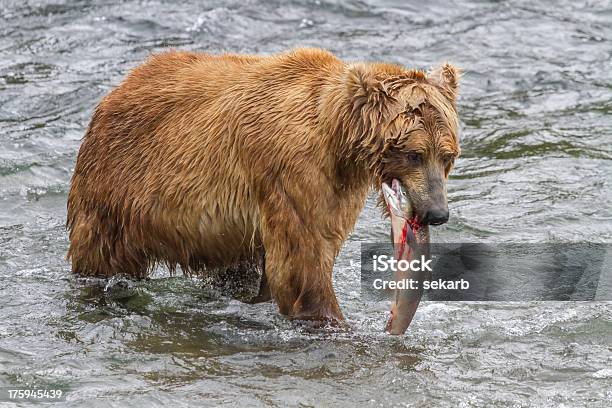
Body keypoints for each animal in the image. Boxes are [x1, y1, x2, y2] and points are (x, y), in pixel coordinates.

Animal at [67, 47, 460, 322]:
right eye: (414, 154)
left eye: (447, 156)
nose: (437, 212)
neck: (337, 138)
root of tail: (116, 90)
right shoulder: (293, 172)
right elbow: (302, 264)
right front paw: (333, 320)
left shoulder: (337, 188)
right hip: (115, 191)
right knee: (100, 256)